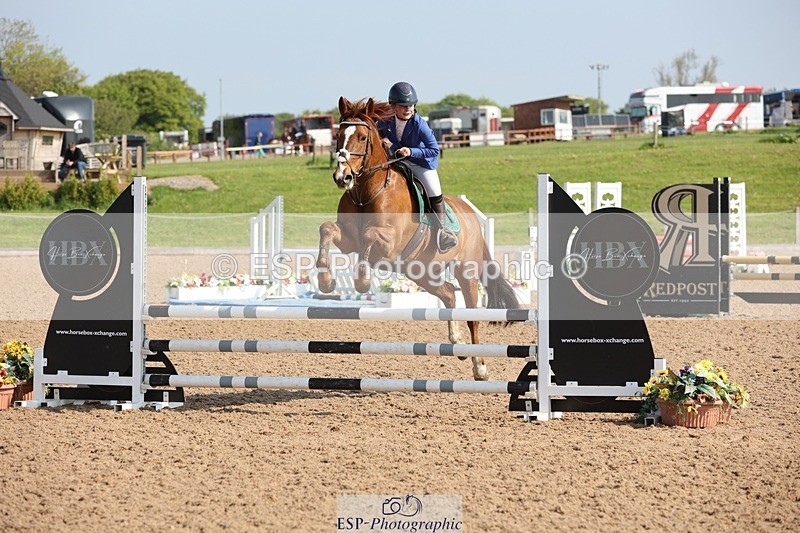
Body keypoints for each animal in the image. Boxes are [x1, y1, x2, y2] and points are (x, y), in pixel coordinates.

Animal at [316, 97, 520, 380]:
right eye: (339, 136)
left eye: (362, 137)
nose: (342, 177)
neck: (366, 192)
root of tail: (471, 217)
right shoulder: (348, 240)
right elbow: (326, 229)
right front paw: (325, 281)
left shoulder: (388, 245)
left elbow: (369, 236)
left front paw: (362, 281)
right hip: (421, 271)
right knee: (448, 294)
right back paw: (456, 343)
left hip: (466, 271)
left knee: (472, 315)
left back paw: (480, 367)